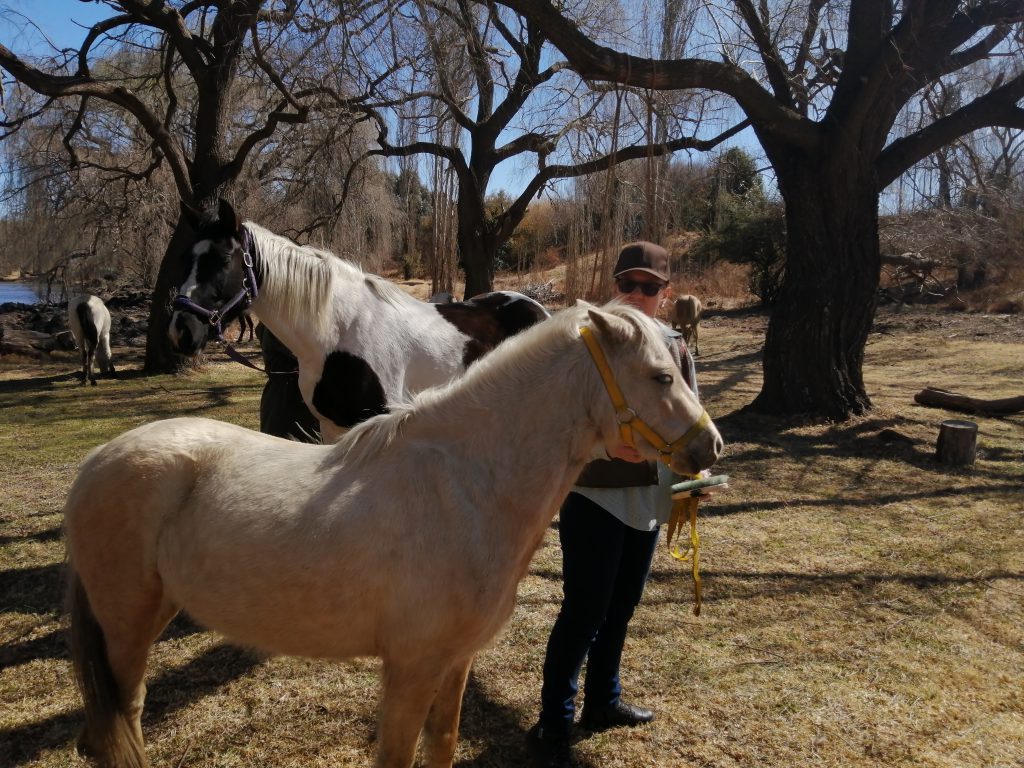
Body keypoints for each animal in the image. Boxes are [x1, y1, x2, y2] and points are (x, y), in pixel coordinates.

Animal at [64, 303, 724, 768]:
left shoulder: (455, 662)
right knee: (123, 717)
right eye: (661, 376)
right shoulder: (411, 667)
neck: (464, 484)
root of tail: (96, 462)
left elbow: (443, 745)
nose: (710, 446)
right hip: (126, 626)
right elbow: (400, 755)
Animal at [169, 198, 552, 444]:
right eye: (185, 258)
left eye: (223, 259)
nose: (180, 332)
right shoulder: (332, 428)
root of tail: (537, 308)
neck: (338, 334)